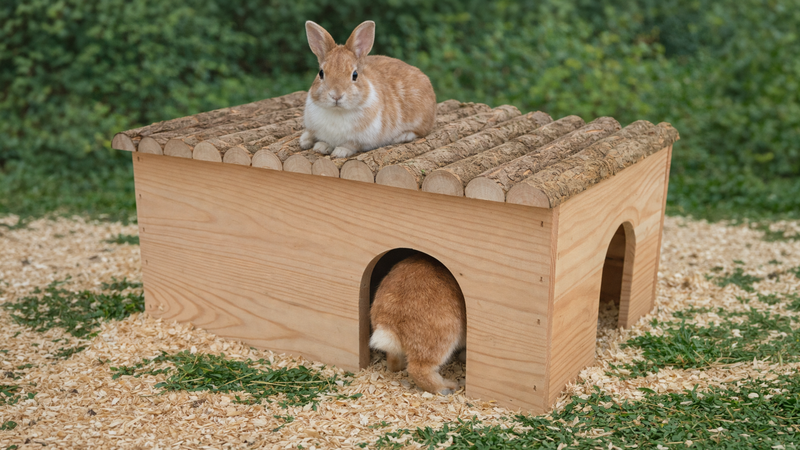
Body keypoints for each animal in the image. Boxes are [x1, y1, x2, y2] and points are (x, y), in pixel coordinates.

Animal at [299, 20, 437, 159]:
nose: (336, 96)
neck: (337, 111)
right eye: (321, 73)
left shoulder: (363, 139)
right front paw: (321, 147)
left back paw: (402, 136)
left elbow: (351, 145)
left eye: (355, 75)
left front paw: (340, 151)